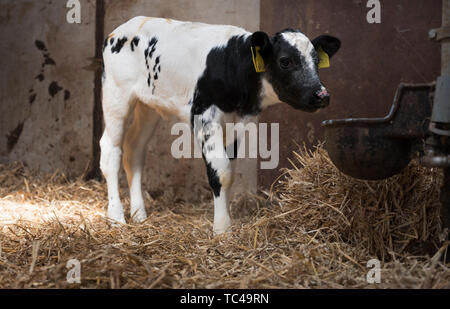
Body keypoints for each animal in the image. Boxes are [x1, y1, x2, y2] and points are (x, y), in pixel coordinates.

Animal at [101, 16, 342, 233]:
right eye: (285, 61)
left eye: (317, 60)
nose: (321, 95)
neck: (233, 64)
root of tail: (119, 30)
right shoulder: (203, 116)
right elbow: (220, 172)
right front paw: (222, 229)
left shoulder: (235, 123)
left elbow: (230, 171)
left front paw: (226, 219)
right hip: (116, 96)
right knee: (110, 151)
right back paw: (116, 217)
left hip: (147, 105)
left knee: (134, 150)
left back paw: (139, 215)